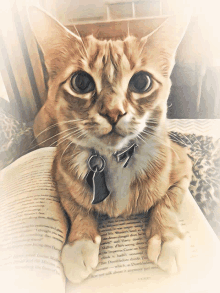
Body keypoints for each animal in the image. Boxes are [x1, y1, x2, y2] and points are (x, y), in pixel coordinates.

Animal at [28, 5, 191, 282]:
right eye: (81, 82)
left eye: (142, 82)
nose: (113, 112)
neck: (115, 159)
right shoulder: (59, 173)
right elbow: (77, 208)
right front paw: (80, 242)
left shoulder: (184, 166)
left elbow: (169, 201)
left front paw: (167, 237)